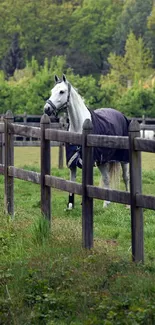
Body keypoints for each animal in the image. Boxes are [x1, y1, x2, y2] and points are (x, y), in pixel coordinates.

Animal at [44, 74, 131, 209]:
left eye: (62, 91)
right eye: (52, 91)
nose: (47, 109)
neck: (79, 126)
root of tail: (121, 115)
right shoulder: (72, 162)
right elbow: (72, 182)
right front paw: (70, 205)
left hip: (123, 159)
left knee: (126, 177)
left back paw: (127, 205)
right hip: (103, 161)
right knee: (106, 178)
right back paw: (106, 204)